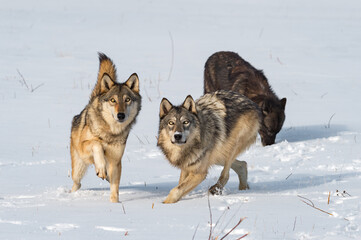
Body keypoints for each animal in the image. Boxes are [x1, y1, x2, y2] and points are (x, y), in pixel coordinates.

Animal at [69, 52, 141, 202]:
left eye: (127, 100)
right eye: (113, 100)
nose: (121, 115)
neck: (110, 132)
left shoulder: (116, 162)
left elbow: (114, 189)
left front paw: (114, 204)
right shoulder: (84, 147)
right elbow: (97, 144)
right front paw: (101, 167)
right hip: (78, 168)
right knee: (77, 183)